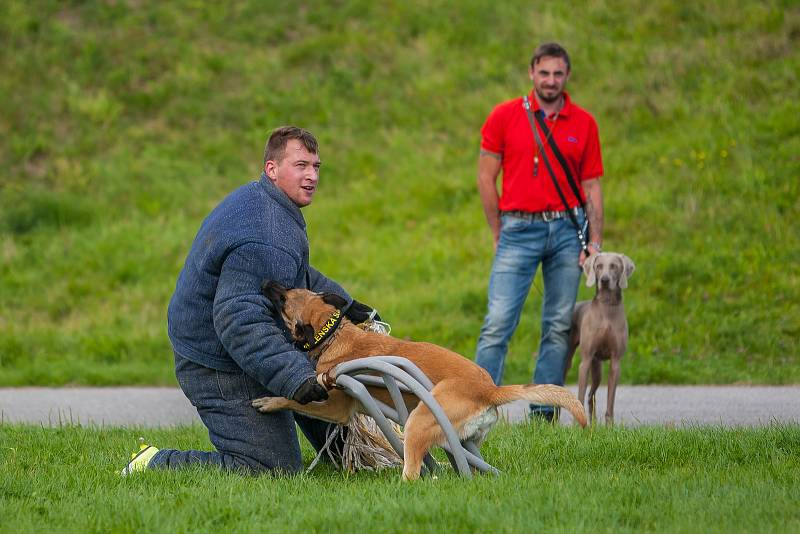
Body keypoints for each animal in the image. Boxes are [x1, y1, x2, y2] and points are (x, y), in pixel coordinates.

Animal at [255, 282, 588, 484]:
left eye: (283, 300)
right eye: (289, 289)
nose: (266, 283)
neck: (334, 334)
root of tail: (490, 390)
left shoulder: (336, 408)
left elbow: (293, 399)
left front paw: (269, 402)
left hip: (416, 423)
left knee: (413, 474)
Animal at [564, 253, 636, 426]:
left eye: (614, 266)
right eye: (598, 266)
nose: (604, 280)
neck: (607, 307)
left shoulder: (615, 363)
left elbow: (610, 400)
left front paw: (610, 427)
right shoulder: (585, 361)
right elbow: (579, 396)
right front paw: (576, 425)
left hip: (597, 370)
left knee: (592, 396)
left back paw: (594, 425)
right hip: (570, 362)